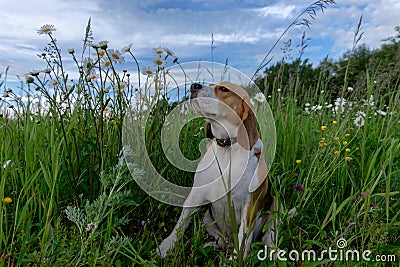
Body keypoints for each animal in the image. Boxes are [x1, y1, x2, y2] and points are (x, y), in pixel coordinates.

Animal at [156, 81, 278, 260]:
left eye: (224, 89)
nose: (193, 86)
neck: (226, 148)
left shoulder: (250, 204)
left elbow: (243, 236)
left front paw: (237, 260)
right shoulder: (196, 194)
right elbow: (181, 223)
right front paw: (166, 246)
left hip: (275, 204)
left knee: (268, 235)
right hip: (208, 218)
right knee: (220, 240)